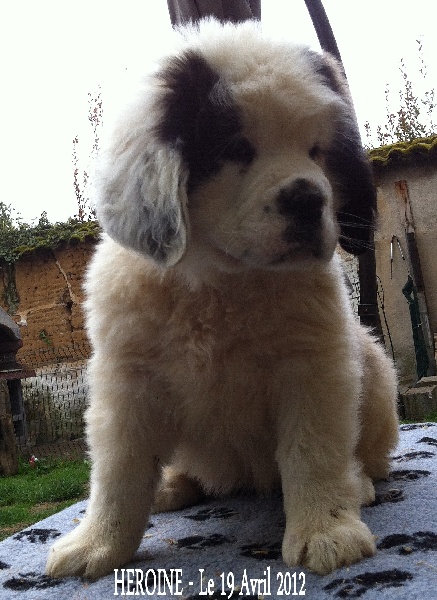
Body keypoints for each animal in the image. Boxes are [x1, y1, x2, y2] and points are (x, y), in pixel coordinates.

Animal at [46, 19, 399, 579]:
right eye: (235, 147)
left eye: (318, 151)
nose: (308, 198)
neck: (219, 279)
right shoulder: (127, 382)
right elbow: (119, 472)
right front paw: (96, 545)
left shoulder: (313, 365)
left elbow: (312, 450)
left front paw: (326, 531)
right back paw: (172, 485)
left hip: (374, 369)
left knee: (366, 455)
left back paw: (358, 483)